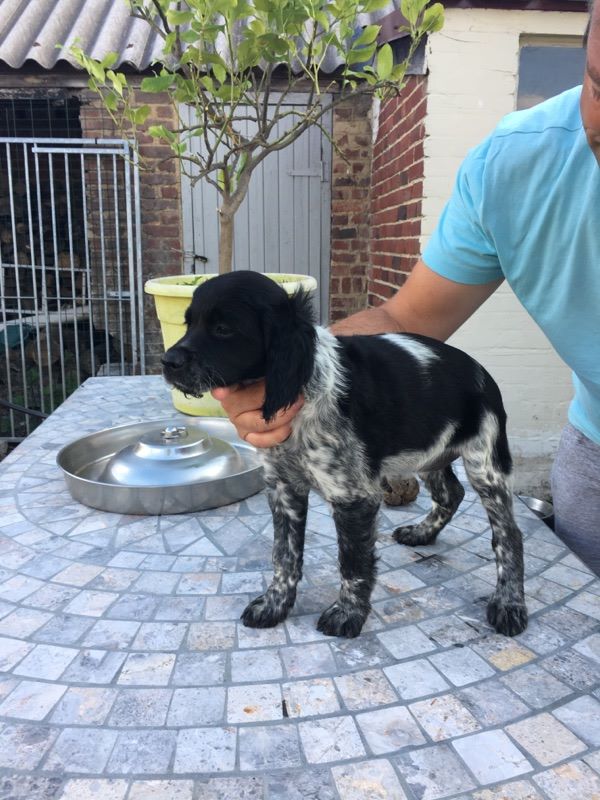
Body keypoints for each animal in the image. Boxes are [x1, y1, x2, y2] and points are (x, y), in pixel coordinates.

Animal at [162, 270, 528, 638]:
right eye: (188, 323)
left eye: (223, 329)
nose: (167, 362)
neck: (303, 390)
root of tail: (482, 372)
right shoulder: (283, 488)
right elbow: (284, 555)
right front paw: (274, 604)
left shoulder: (354, 496)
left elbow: (353, 562)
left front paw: (347, 614)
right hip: (431, 450)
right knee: (451, 493)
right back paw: (422, 533)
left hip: (485, 463)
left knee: (509, 535)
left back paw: (509, 604)